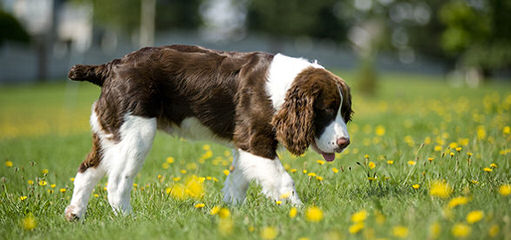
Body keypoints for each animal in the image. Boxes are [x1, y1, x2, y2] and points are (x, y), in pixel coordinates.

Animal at [63, 44, 352, 220]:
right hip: (136, 132)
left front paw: (229, 213)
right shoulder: (254, 141)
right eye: (326, 110)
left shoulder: (244, 145)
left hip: (110, 130)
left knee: (87, 169)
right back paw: (129, 219)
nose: (344, 142)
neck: (281, 89)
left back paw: (75, 213)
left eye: (344, 111)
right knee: (116, 181)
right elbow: (283, 181)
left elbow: (237, 182)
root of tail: (110, 67)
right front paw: (304, 214)